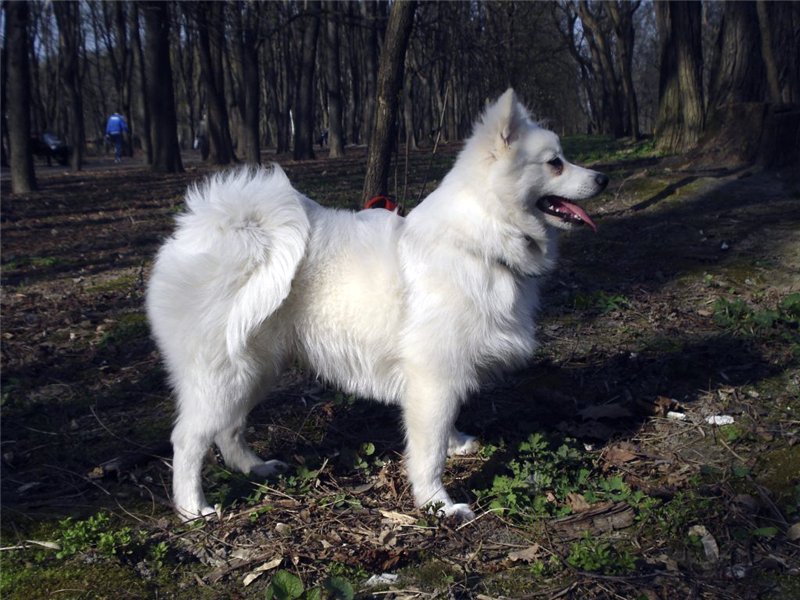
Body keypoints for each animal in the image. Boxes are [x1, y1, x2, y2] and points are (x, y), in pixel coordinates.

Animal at [145, 89, 608, 520]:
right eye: (555, 163)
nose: (602, 178)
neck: (477, 241)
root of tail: (217, 230)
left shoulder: (441, 379)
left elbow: (443, 428)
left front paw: (457, 443)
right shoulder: (433, 378)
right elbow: (428, 453)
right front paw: (437, 504)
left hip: (255, 371)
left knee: (228, 430)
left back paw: (254, 468)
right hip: (223, 374)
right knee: (188, 440)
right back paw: (193, 508)